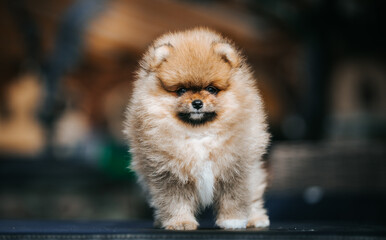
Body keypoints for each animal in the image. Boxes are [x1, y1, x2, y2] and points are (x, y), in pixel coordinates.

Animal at [125, 28, 270, 231]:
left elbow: (234, 197)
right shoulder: (168, 173)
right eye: (181, 90)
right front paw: (180, 222)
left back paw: (256, 218)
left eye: (211, 89)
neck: (199, 133)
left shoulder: (236, 168)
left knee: (254, 195)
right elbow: (175, 201)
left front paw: (233, 221)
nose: (197, 103)